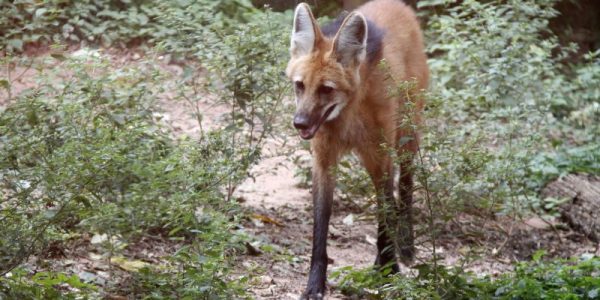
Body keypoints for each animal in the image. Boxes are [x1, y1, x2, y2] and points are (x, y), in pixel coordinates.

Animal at [284, 0, 426, 298]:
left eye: (327, 89)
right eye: (300, 85)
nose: (299, 123)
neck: (347, 116)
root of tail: (399, 5)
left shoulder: (381, 157)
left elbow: (385, 214)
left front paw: (390, 271)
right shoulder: (324, 161)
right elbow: (320, 227)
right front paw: (315, 284)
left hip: (406, 136)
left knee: (404, 188)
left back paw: (405, 247)